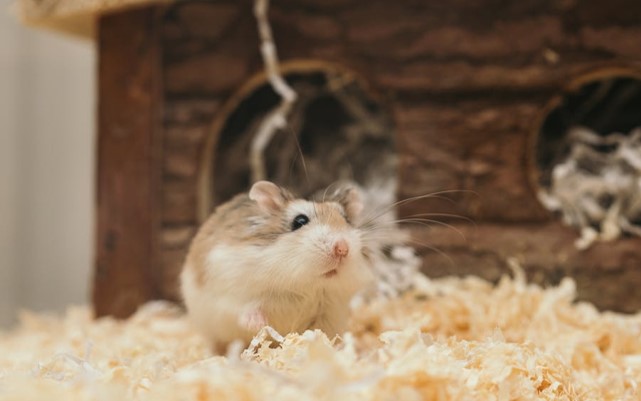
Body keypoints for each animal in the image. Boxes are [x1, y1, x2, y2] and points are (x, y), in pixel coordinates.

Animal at [180, 180, 374, 353]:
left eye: (346, 220)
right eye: (300, 221)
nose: (342, 248)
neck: (305, 285)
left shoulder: (330, 313)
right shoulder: (229, 292)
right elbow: (244, 309)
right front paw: (259, 323)